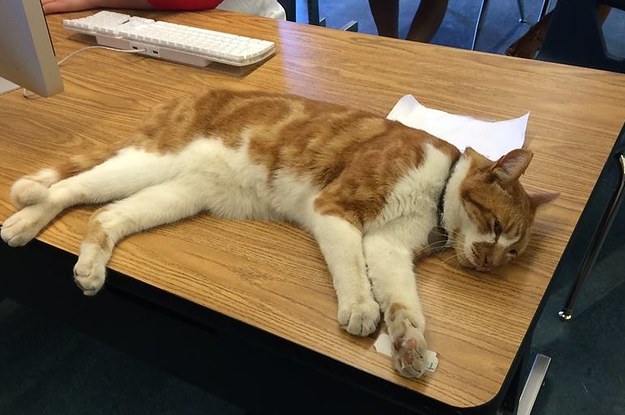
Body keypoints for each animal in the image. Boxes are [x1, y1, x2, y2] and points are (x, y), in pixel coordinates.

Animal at [0, 88, 556, 380]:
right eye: (496, 227)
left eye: (513, 254)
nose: (489, 261)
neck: (436, 188)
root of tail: (188, 97)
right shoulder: (334, 209)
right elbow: (352, 269)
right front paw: (361, 308)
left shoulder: (389, 246)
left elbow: (404, 302)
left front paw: (410, 344)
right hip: (147, 162)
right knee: (68, 187)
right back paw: (23, 217)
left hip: (178, 193)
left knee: (107, 217)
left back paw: (89, 267)